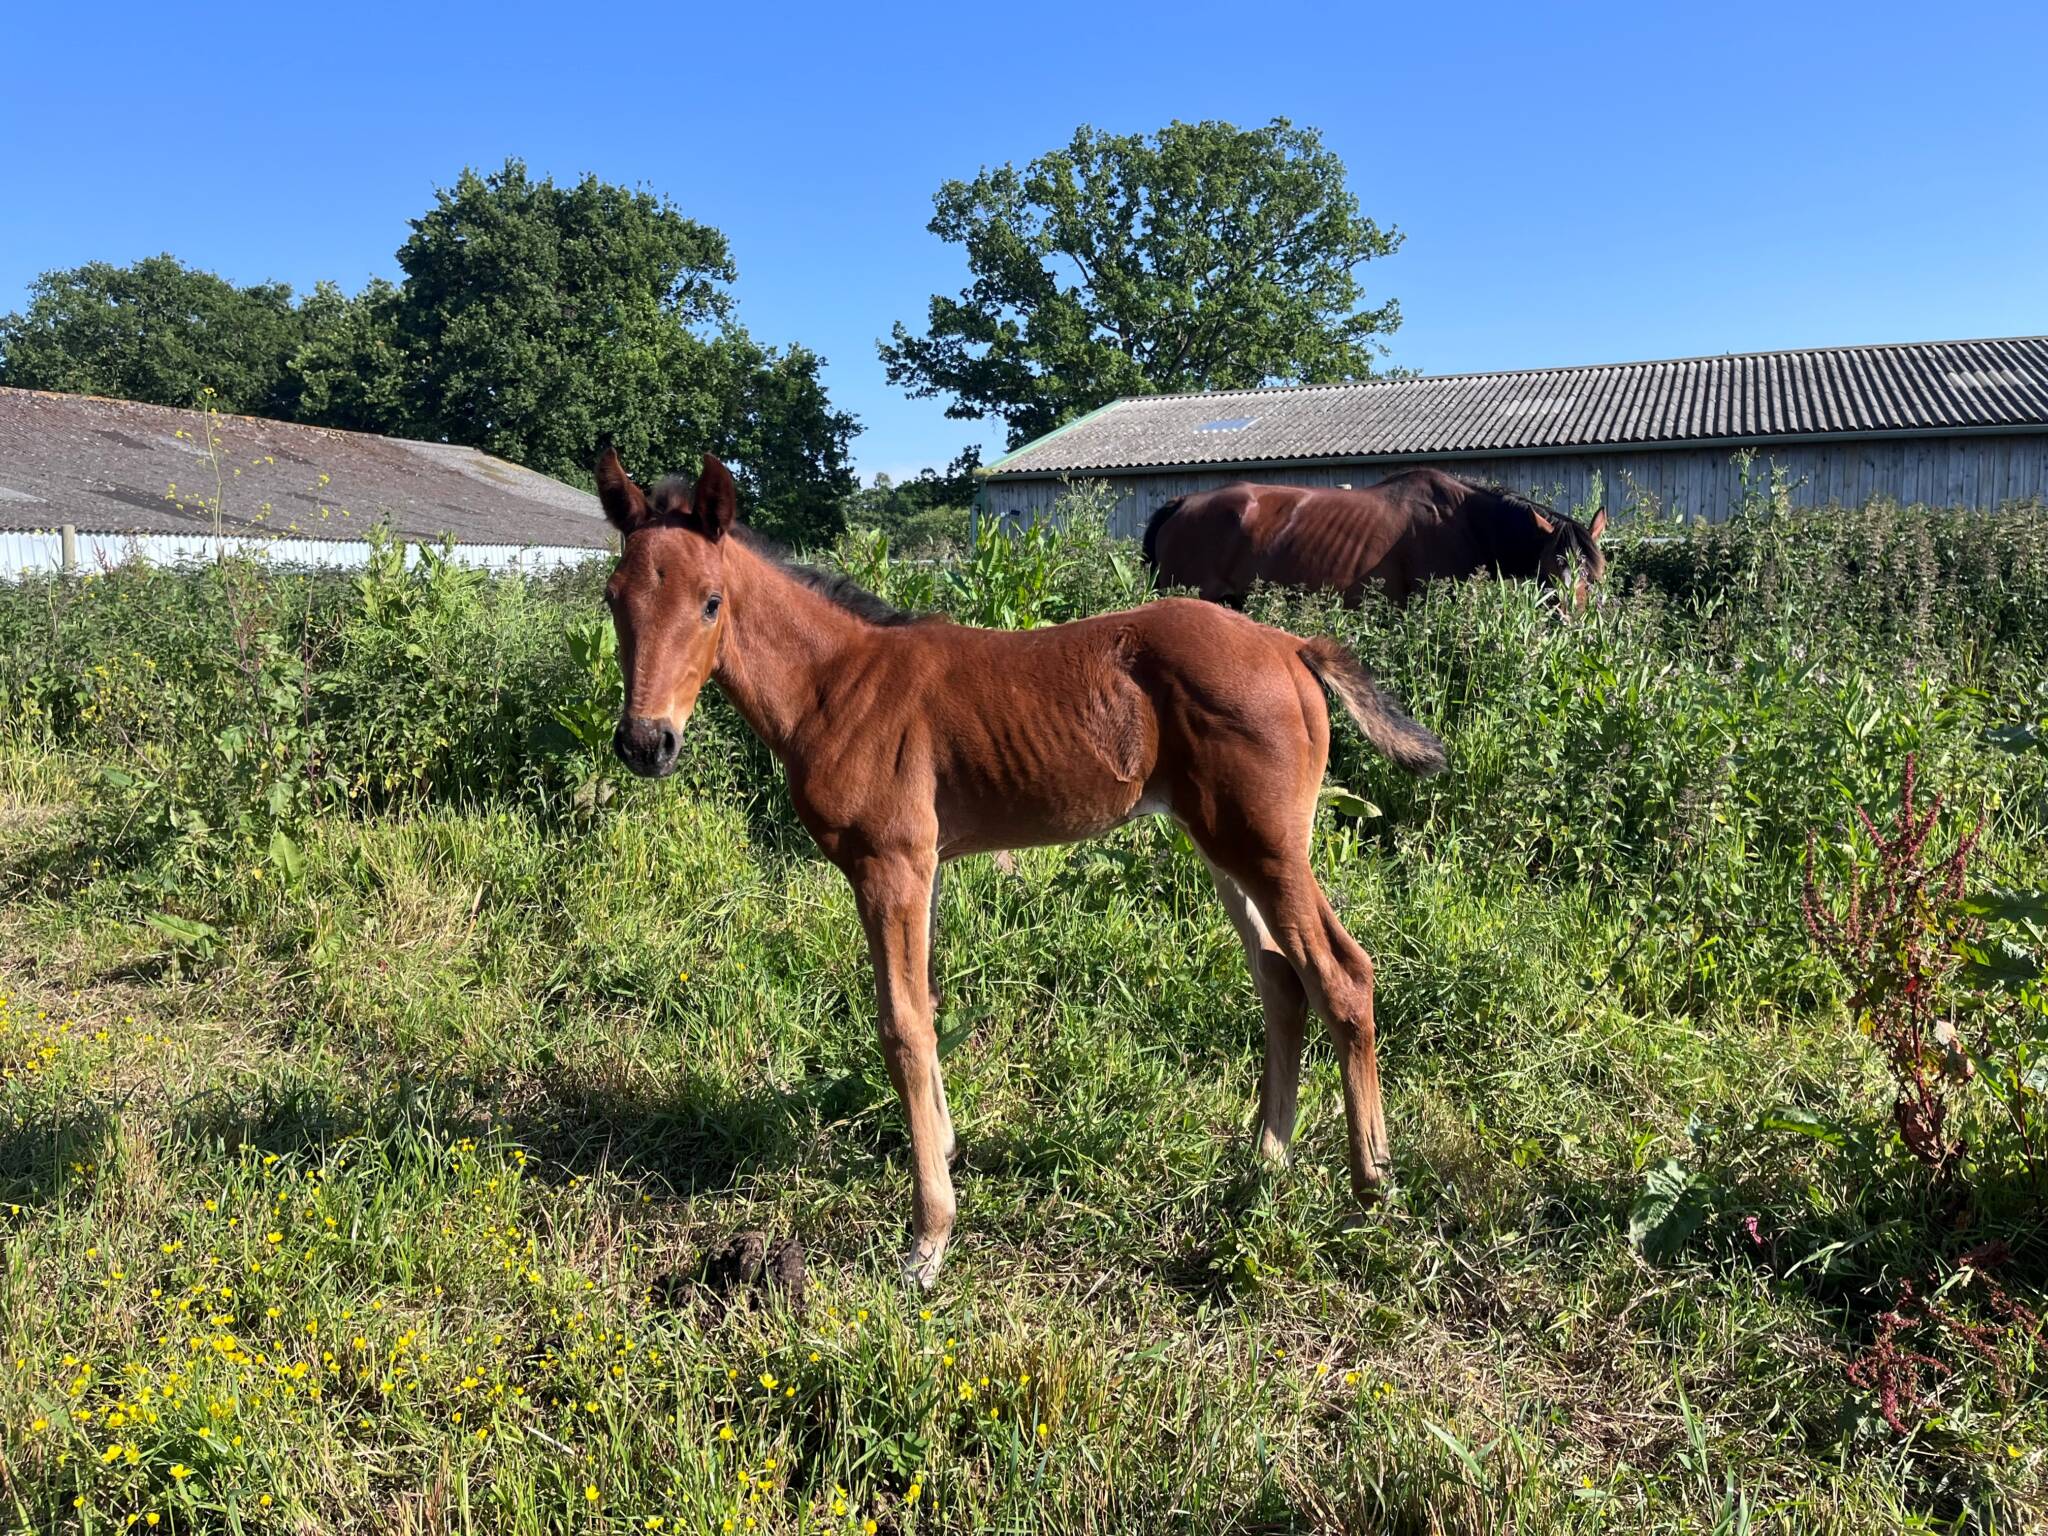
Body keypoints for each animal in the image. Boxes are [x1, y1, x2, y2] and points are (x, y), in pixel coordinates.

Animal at [593, 448, 1458, 1302]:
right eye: (613, 599)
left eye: (711, 603)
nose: (645, 743)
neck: (833, 685)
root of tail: (1290, 646)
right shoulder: (926, 867)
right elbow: (928, 1007)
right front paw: (945, 1155)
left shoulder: (889, 865)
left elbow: (900, 1027)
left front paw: (929, 1239)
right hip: (1224, 846)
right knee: (1282, 980)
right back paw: (1261, 1164)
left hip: (1268, 847)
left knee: (1341, 976)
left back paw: (1370, 1189)